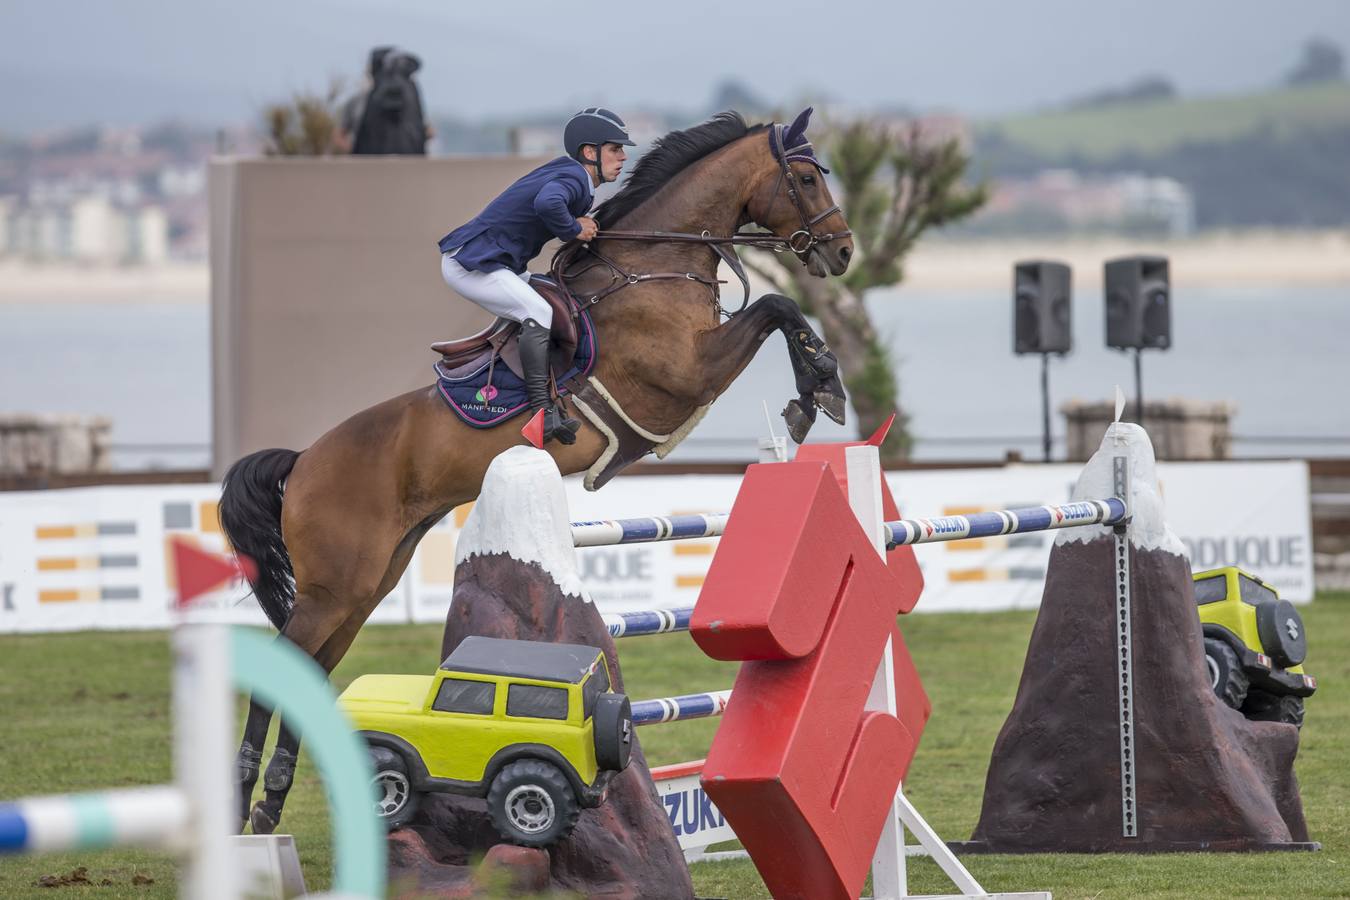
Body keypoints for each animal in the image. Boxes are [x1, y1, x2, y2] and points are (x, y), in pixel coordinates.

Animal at [221, 109, 853, 836]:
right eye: (804, 177)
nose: (843, 253)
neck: (651, 266)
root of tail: (303, 463)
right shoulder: (686, 374)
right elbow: (777, 308)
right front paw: (819, 388)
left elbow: (776, 311)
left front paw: (816, 391)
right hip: (333, 589)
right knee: (288, 664)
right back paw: (245, 796)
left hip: (363, 586)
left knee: (314, 667)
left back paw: (271, 800)